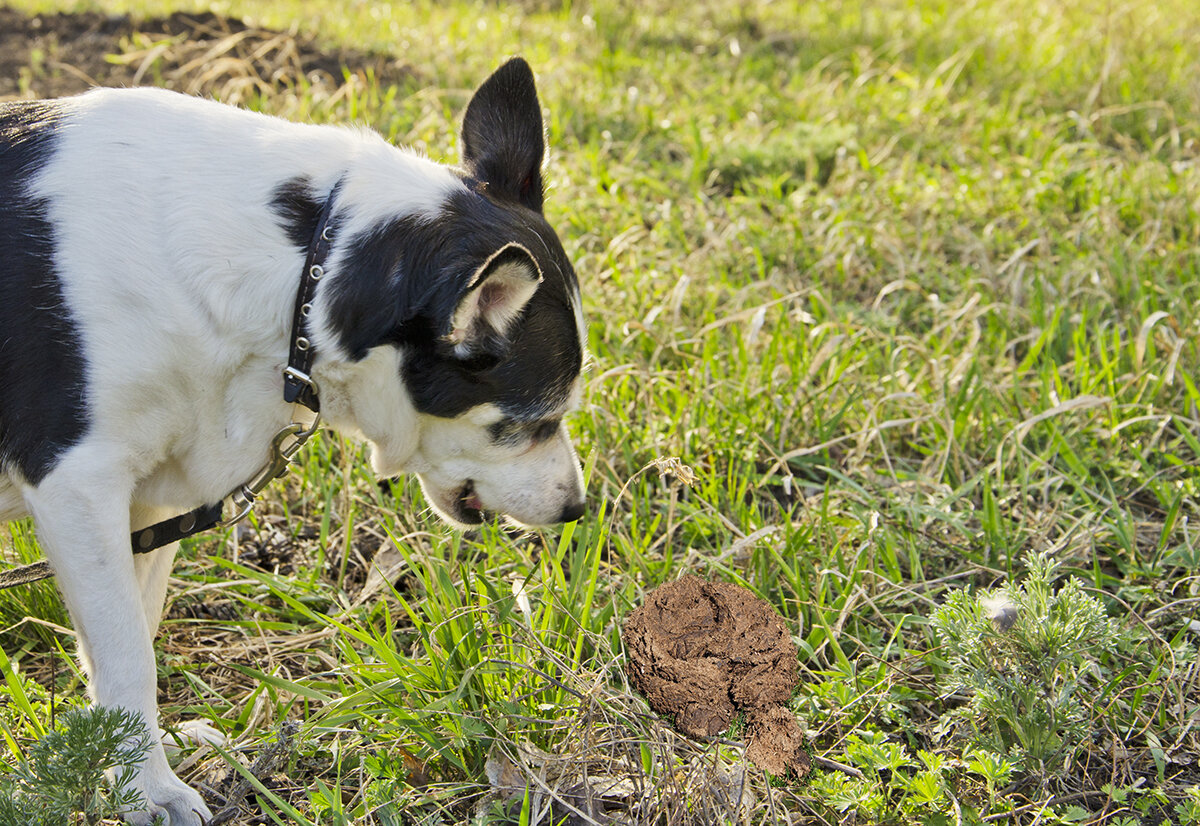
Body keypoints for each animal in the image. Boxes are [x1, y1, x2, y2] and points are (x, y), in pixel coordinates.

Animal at [0, 59, 588, 826]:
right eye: (530, 422)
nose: (578, 508)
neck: (307, 266)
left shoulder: (147, 505)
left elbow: (132, 638)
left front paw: (126, 765)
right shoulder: (79, 487)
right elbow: (128, 654)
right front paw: (150, 792)